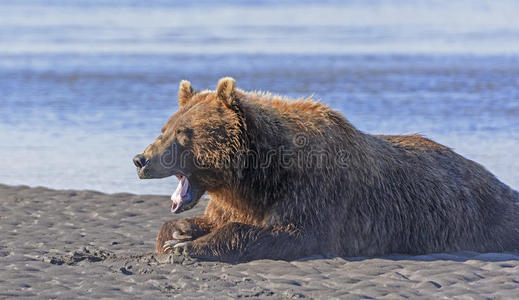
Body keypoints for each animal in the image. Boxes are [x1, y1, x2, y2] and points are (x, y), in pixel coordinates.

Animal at [134, 77, 519, 262]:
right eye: (164, 128)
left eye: (184, 133)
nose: (141, 160)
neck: (256, 175)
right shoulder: (235, 201)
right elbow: (209, 219)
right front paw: (176, 235)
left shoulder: (312, 190)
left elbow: (289, 232)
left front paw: (187, 248)